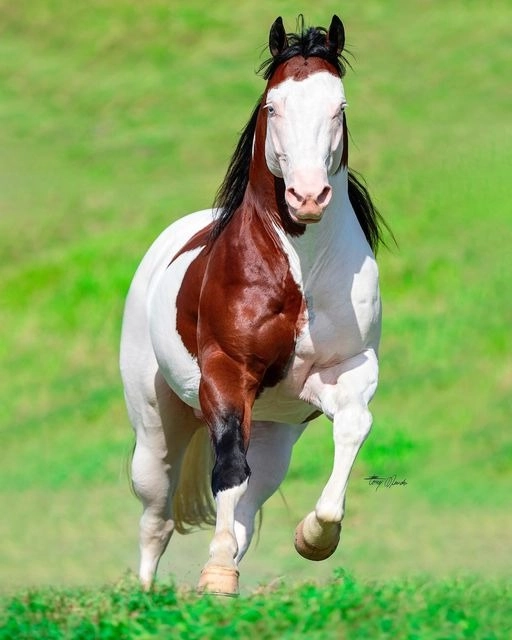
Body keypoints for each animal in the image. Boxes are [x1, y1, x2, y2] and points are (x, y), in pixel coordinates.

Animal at [120, 15, 386, 596]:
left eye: (339, 106)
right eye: (272, 107)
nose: (307, 197)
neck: (301, 271)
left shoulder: (347, 370)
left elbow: (353, 427)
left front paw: (316, 537)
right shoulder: (226, 373)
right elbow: (226, 471)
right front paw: (217, 576)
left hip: (273, 429)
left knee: (248, 497)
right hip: (156, 425)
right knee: (157, 514)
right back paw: (148, 595)